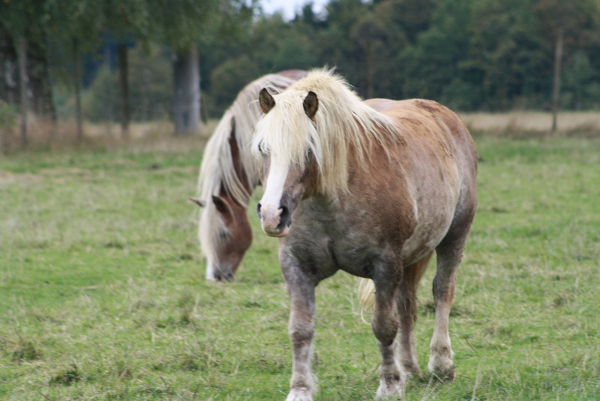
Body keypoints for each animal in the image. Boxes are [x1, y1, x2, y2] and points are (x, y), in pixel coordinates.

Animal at [253, 69, 478, 400]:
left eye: (308, 149)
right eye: (262, 149)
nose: (271, 214)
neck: (330, 201)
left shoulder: (385, 265)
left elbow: (384, 326)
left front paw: (389, 386)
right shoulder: (296, 266)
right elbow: (300, 329)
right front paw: (300, 389)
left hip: (453, 237)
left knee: (442, 292)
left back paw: (441, 364)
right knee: (407, 305)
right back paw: (409, 369)